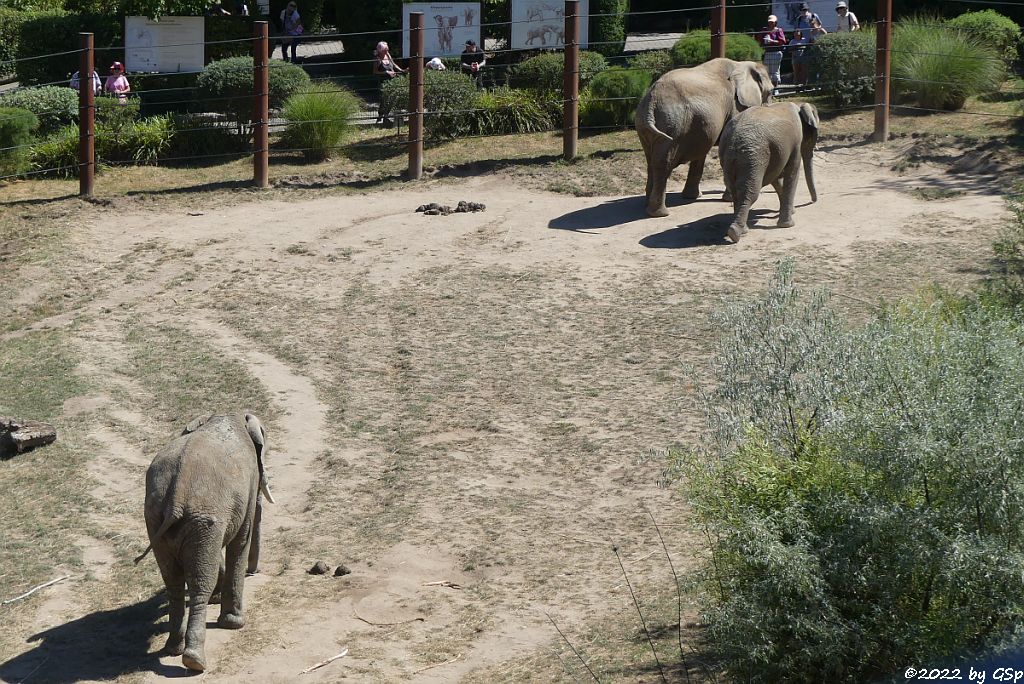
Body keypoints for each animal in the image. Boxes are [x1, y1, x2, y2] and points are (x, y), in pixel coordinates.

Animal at [136, 413, 274, 671]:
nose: (255, 572)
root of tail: (176, 497)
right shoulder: (248, 485)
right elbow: (241, 540)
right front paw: (234, 623)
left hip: (159, 519)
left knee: (173, 582)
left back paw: (174, 648)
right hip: (200, 517)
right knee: (200, 583)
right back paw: (194, 661)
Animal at [634, 57, 770, 216]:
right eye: (770, 92)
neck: (742, 64)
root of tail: (651, 100)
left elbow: (701, 152)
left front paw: (693, 197)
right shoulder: (735, 106)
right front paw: (728, 199)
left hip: (647, 126)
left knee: (651, 161)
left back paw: (648, 206)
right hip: (672, 124)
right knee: (663, 162)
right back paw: (660, 213)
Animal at [716, 100, 819, 241]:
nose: (813, 201)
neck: (799, 105)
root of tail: (734, 139)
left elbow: (775, 176)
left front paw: (792, 212)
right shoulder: (796, 142)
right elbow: (793, 171)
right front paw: (788, 225)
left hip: (730, 157)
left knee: (735, 190)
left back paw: (740, 231)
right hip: (755, 156)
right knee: (751, 192)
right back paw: (735, 233)